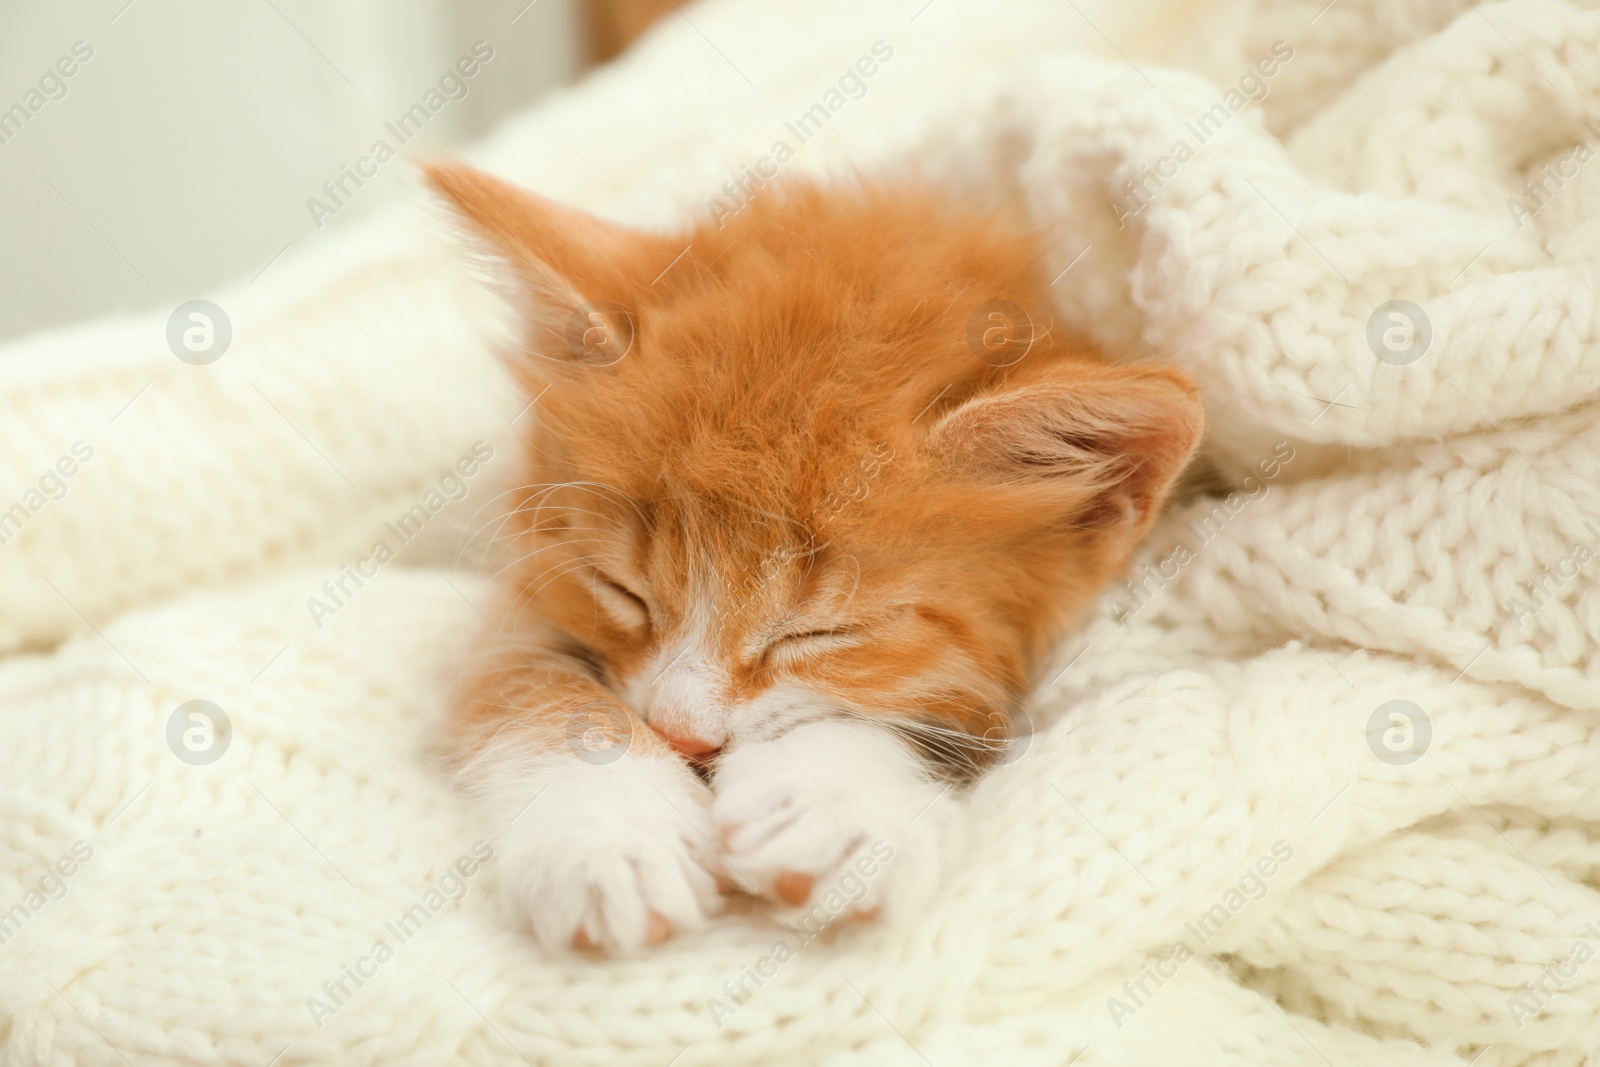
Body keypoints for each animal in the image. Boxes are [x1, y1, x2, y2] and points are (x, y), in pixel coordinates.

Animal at [425, 163, 1203, 953]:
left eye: (820, 632)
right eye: (621, 590)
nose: (680, 736)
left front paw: (836, 806)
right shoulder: (519, 593)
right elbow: (522, 676)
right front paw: (608, 831)